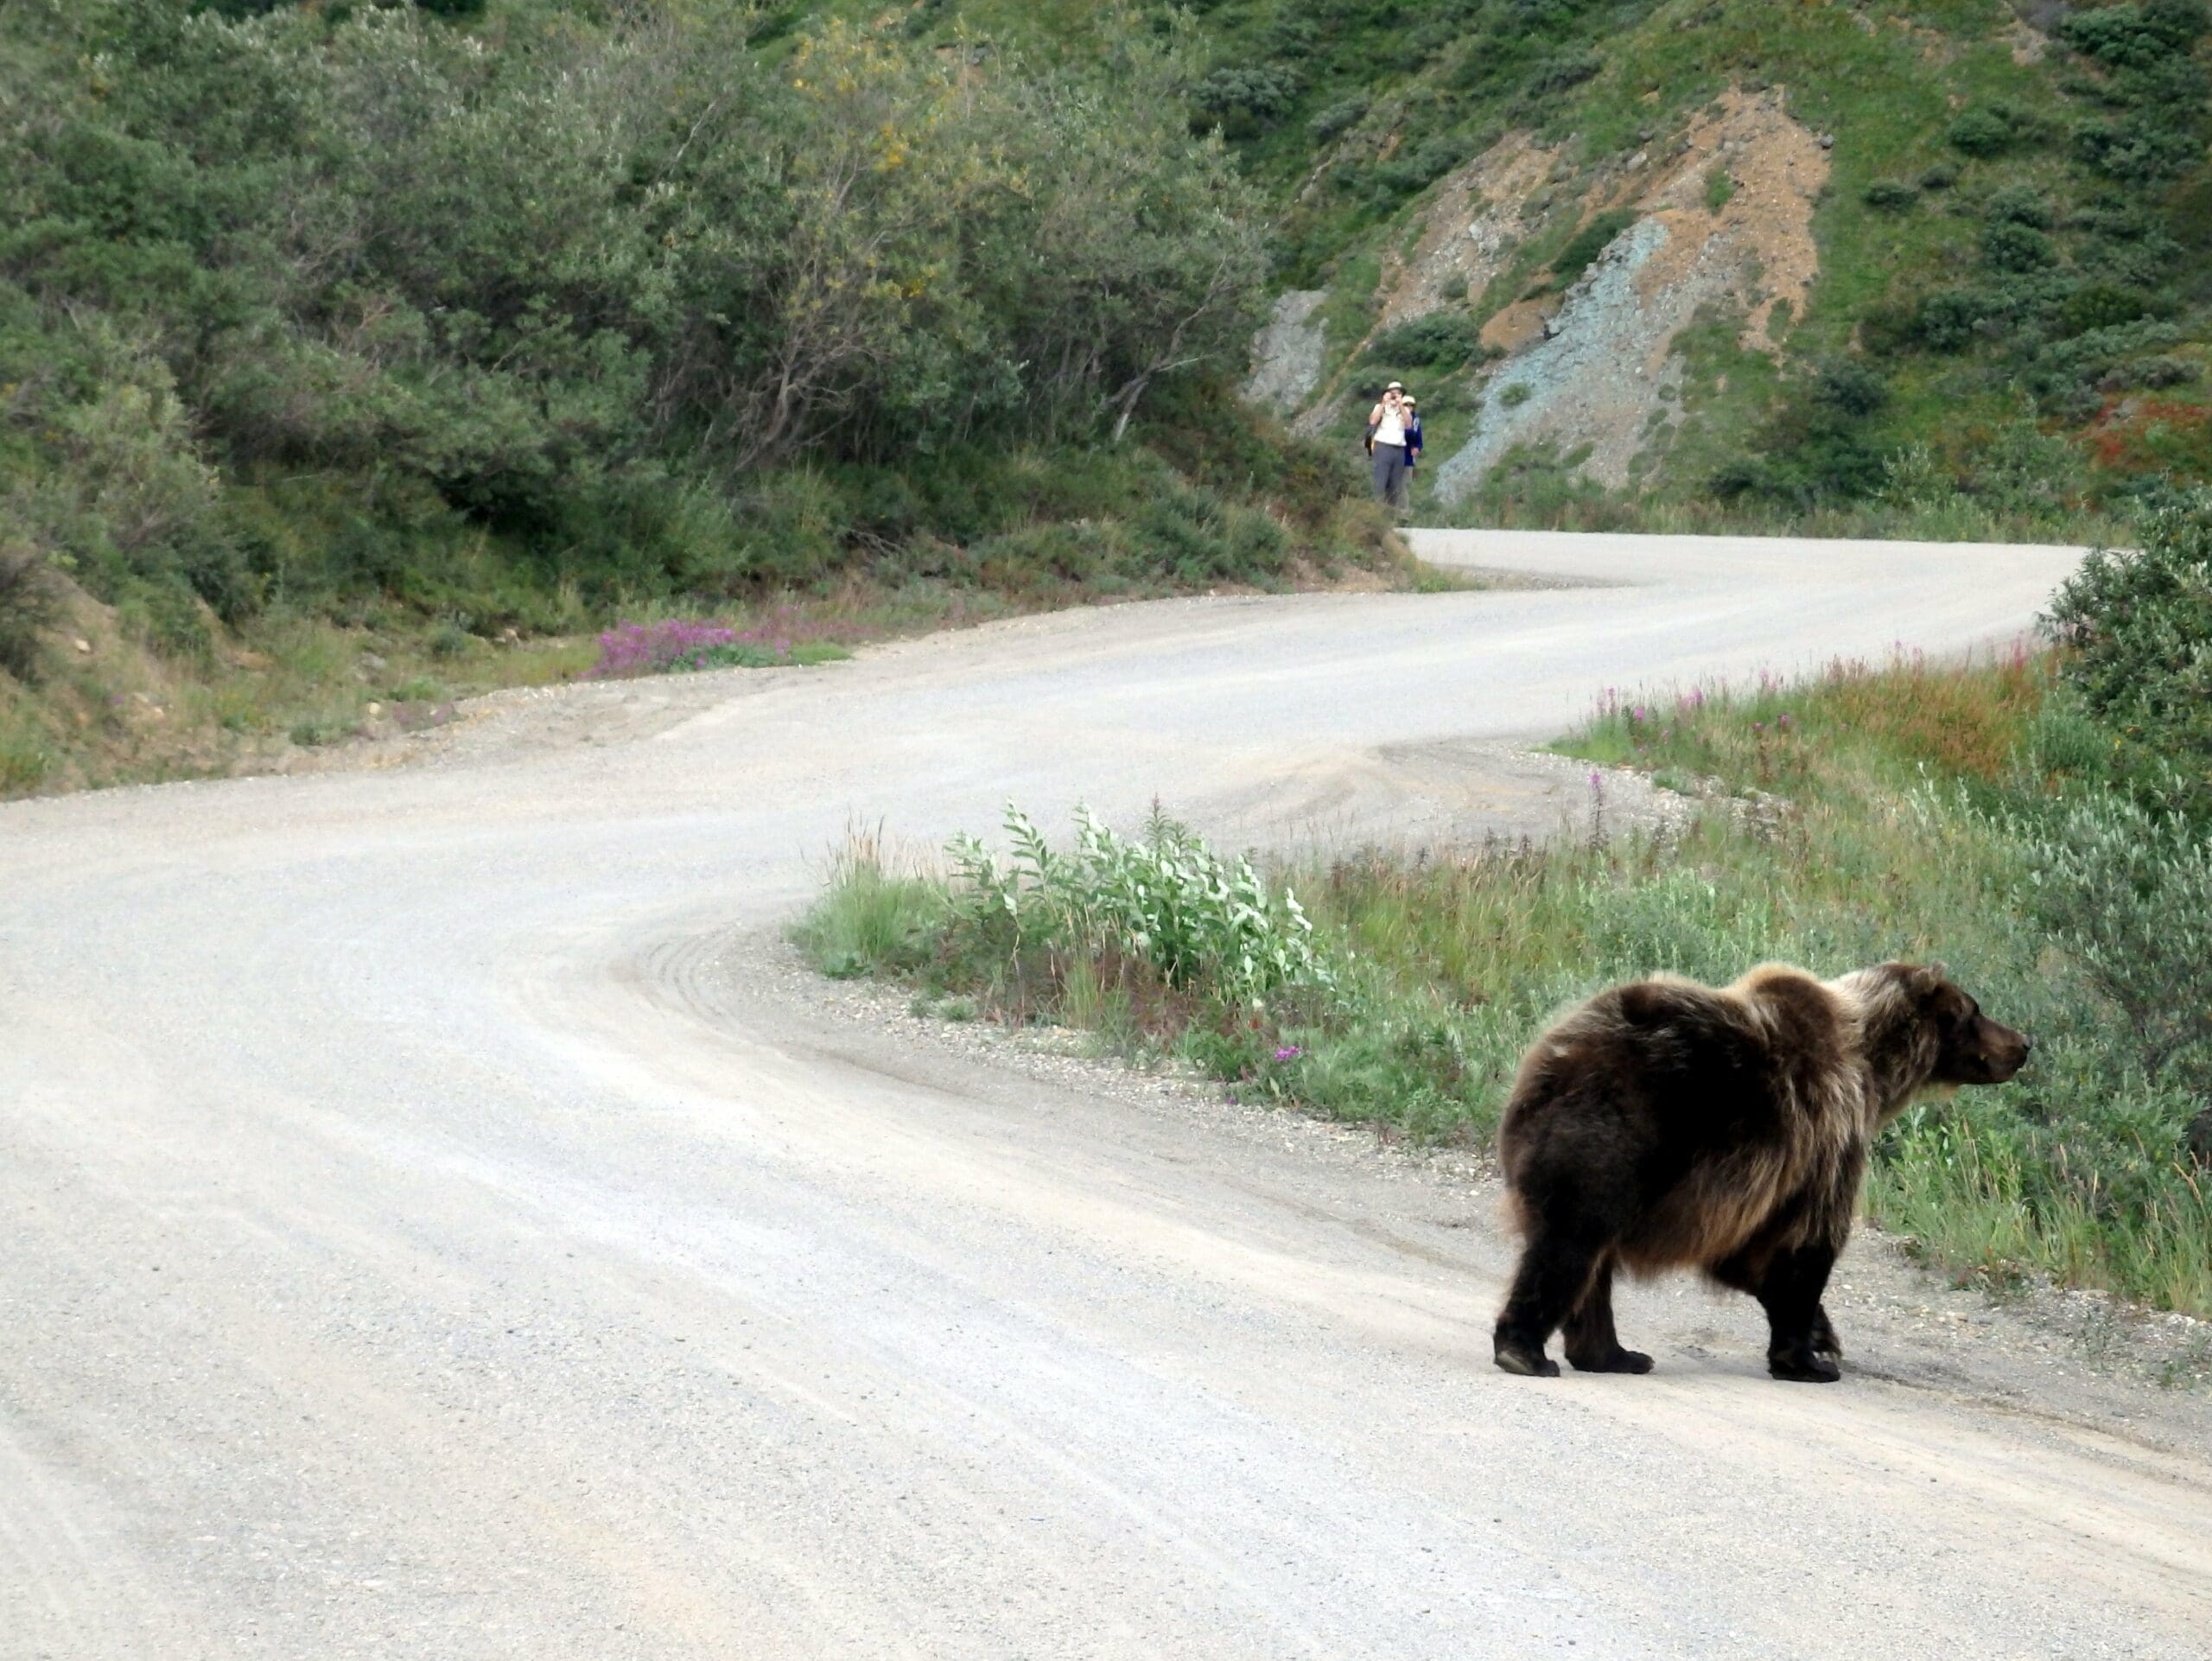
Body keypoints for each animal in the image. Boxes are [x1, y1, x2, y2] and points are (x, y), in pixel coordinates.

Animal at [1495, 968, 2025, 1379]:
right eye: (1974, 1010)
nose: (2024, 1043)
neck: (1874, 1067)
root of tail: (1546, 1066)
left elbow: (1747, 1257)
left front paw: (1823, 1336)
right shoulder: (1827, 1137)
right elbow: (1804, 1244)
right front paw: (1810, 1361)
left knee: (1591, 1262)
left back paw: (1615, 1355)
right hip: (1613, 1139)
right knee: (1570, 1245)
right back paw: (1526, 1352)